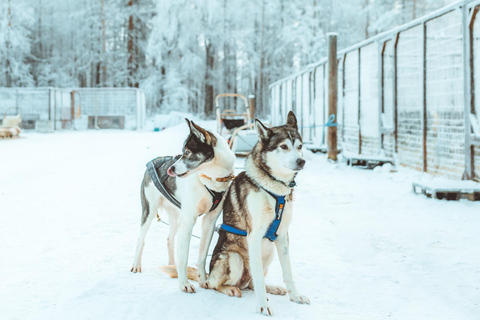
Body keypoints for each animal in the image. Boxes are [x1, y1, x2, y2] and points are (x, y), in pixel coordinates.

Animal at [131, 119, 236, 292]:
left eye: (187, 152)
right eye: (182, 152)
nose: (170, 169)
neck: (210, 178)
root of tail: (154, 161)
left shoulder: (209, 221)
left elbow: (202, 256)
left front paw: (203, 280)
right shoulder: (189, 221)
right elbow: (184, 258)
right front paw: (184, 284)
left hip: (176, 217)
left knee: (170, 239)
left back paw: (171, 264)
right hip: (150, 212)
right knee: (141, 238)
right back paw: (136, 265)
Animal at [205, 112, 308, 316]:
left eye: (300, 146)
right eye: (283, 146)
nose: (301, 161)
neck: (274, 189)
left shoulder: (282, 236)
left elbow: (288, 272)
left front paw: (295, 296)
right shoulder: (254, 235)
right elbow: (259, 277)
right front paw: (263, 306)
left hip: (269, 252)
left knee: (251, 283)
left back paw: (272, 288)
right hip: (234, 258)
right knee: (217, 284)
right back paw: (230, 289)